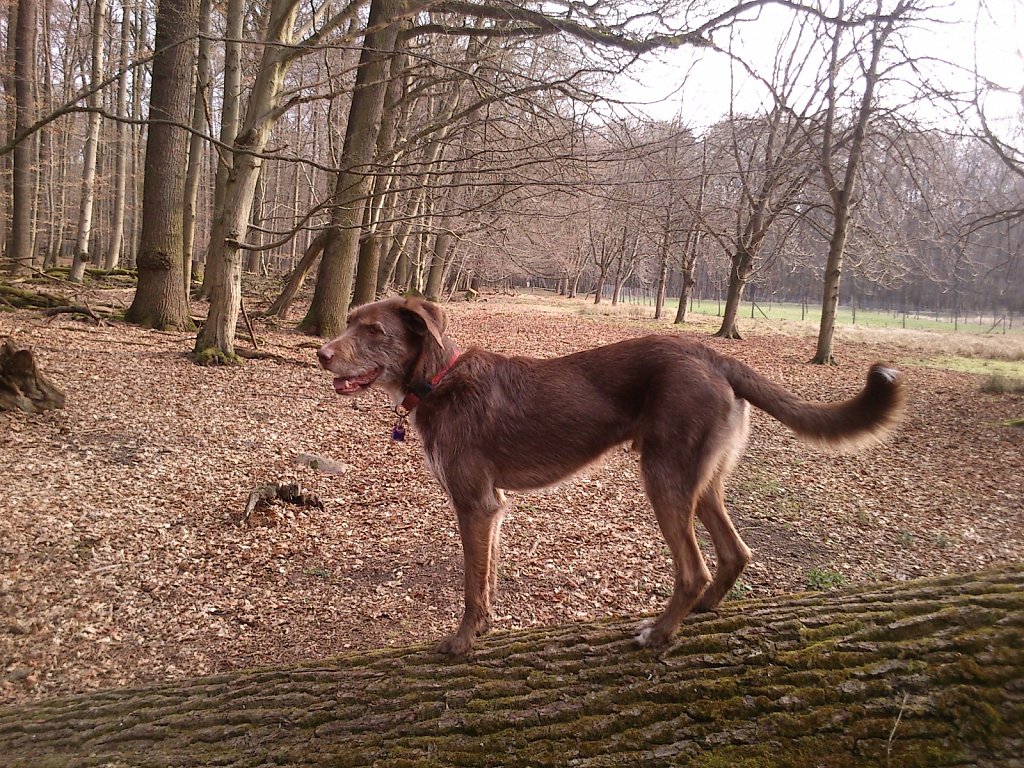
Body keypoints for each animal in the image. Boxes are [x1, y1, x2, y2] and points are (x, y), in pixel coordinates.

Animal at [319, 296, 905, 659]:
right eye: (348, 320)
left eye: (374, 330)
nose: (321, 353)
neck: (438, 380)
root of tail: (714, 355)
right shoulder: (494, 505)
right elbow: (487, 578)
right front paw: (482, 630)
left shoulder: (474, 504)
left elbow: (470, 584)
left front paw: (461, 642)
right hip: (702, 480)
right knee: (736, 551)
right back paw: (704, 610)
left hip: (664, 476)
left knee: (692, 569)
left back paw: (660, 633)